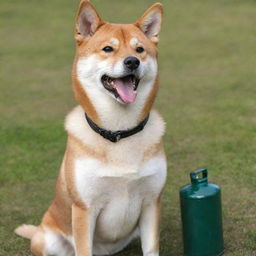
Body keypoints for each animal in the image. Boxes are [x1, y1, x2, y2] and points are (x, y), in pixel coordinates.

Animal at [15, 1, 167, 255]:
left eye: (139, 50)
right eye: (108, 49)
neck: (119, 132)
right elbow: (83, 247)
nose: (132, 62)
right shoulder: (84, 209)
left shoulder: (151, 202)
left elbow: (151, 248)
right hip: (48, 240)